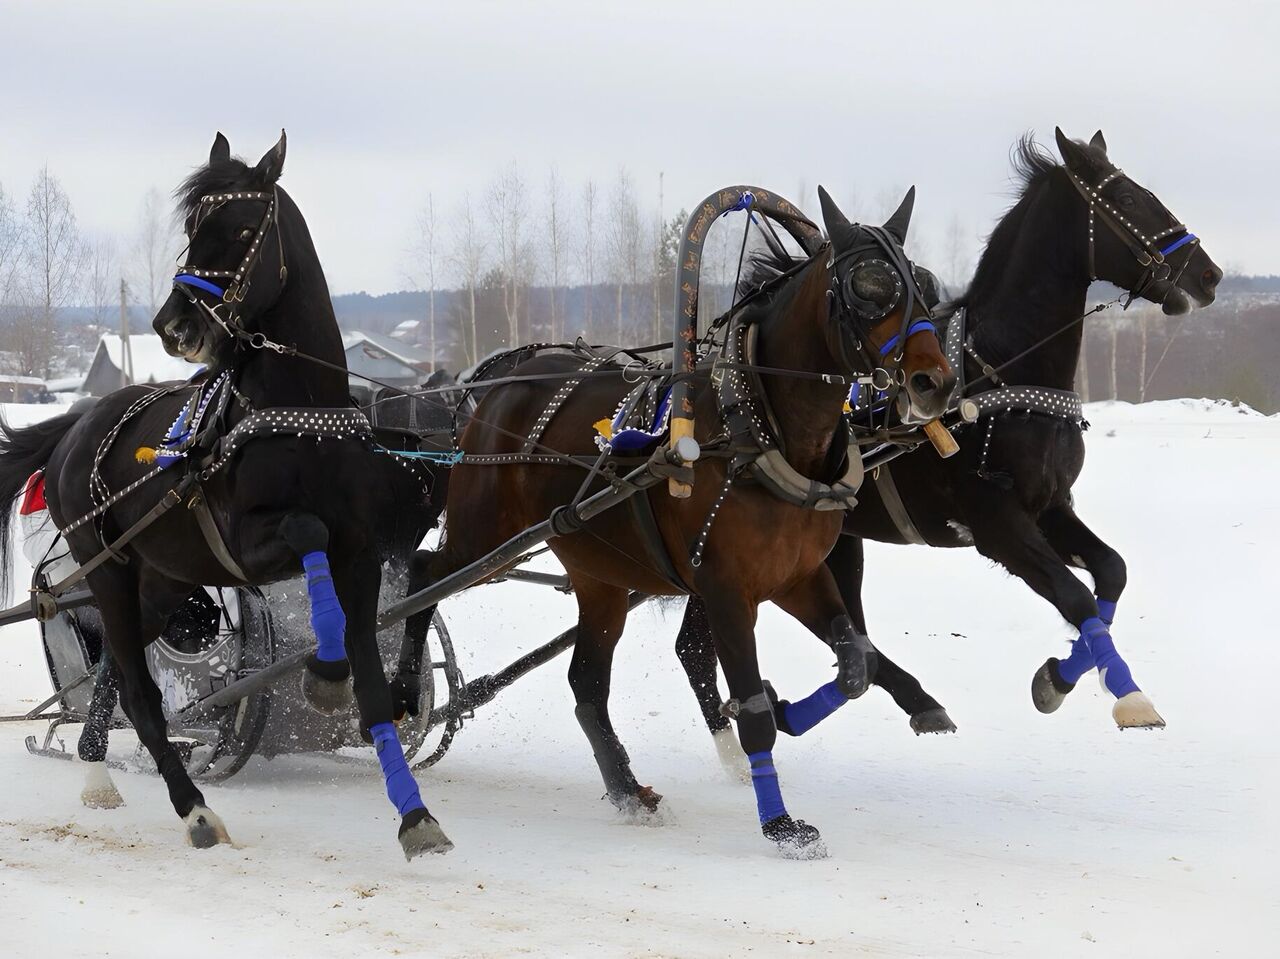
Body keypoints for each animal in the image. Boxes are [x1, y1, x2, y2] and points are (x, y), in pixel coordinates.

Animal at [0, 131, 450, 855]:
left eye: (239, 230)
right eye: (191, 230)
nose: (173, 325)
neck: (298, 413)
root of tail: (79, 425)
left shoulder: (360, 557)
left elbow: (375, 686)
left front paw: (415, 815)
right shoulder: (248, 541)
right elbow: (307, 531)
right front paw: (325, 674)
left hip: (164, 579)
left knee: (118, 670)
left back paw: (97, 767)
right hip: (109, 569)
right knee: (142, 694)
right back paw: (193, 808)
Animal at [414, 186, 957, 855]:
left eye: (923, 284)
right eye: (869, 286)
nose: (934, 383)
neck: (757, 431)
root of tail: (496, 381)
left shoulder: (798, 578)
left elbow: (858, 662)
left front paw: (794, 711)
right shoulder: (726, 590)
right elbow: (751, 708)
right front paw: (781, 823)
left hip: (601, 578)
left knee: (585, 685)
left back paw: (627, 790)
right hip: (483, 537)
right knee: (423, 574)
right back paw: (393, 694)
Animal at [670, 127, 1218, 742]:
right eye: (1124, 197)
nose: (1206, 275)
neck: (996, 371)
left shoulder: (1051, 506)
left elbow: (1111, 574)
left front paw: (1062, 677)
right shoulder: (996, 523)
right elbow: (1076, 596)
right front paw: (1122, 693)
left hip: (831, 545)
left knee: (827, 640)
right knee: (709, 646)